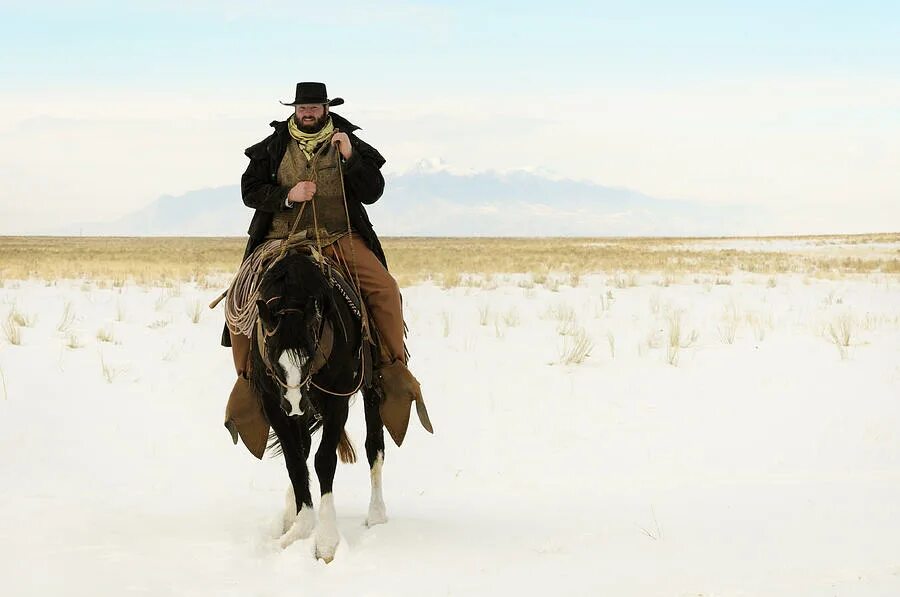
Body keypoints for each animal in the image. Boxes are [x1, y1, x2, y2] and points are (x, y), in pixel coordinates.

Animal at [248, 248, 384, 564]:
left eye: (310, 354)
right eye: (271, 352)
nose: (296, 403)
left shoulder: (337, 400)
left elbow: (324, 460)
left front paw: (326, 542)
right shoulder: (273, 404)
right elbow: (295, 462)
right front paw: (300, 526)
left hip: (371, 388)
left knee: (374, 446)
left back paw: (377, 514)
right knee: (303, 447)